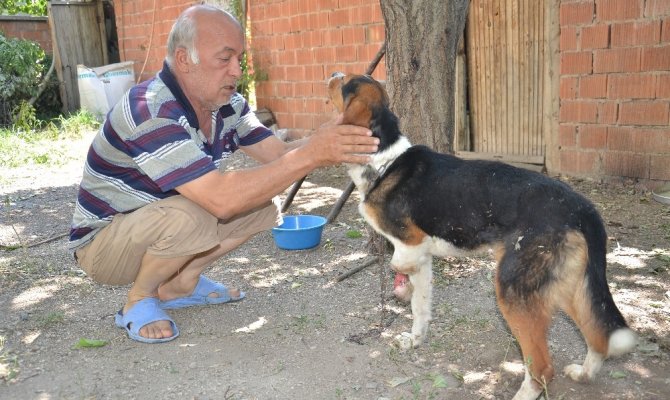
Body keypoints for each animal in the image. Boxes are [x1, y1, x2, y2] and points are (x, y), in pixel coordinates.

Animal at [328, 73, 636, 398]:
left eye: (345, 83)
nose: (333, 74)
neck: (384, 159)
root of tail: (581, 206)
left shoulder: (410, 246)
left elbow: (400, 270)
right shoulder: (422, 258)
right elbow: (420, 308)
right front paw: (415, 340)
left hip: (513, 289)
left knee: (542, 367)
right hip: (570, 285)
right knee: (597, 336)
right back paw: (584, 373)